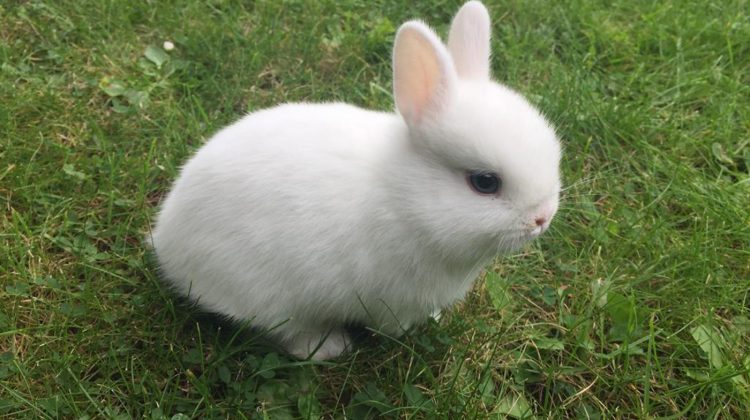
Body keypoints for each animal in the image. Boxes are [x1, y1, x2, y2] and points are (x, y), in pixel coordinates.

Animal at [153, 0, 560, 360]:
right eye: (485, 182)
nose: (543, 218)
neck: (404, 200)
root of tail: (166, 240)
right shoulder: (391, 299)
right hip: (273, 297)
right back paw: (330, 347)